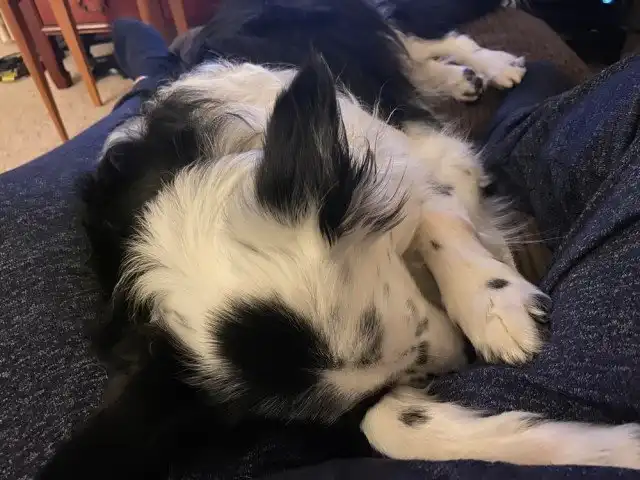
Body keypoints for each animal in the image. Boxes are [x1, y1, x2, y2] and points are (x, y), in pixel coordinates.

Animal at [38, 0, 640, 478]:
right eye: (419, 349)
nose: (460, 362)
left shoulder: (400, 158)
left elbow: (437, 211)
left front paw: (493, 304)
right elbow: (392, 428)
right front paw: (599, 448)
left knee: (419, 38)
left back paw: (491, 66)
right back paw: (458, 79)